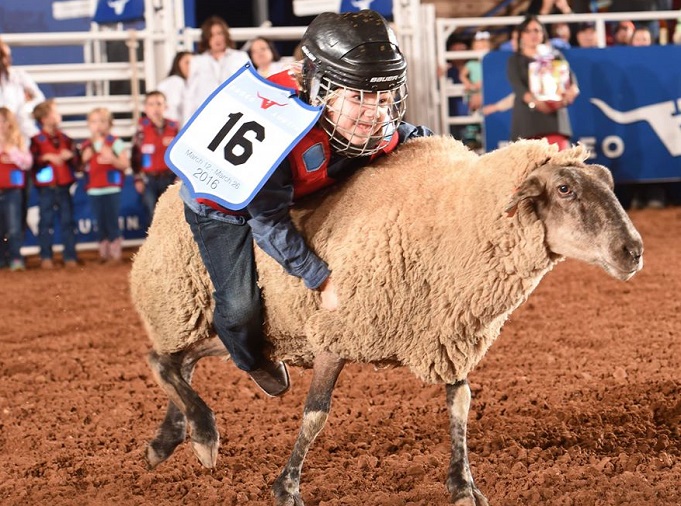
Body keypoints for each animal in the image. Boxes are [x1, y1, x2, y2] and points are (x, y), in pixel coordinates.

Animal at [131, 136, 644, 504]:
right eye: (565, 189)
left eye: (608, 182)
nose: (633, 251)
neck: (449, 220)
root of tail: (173, 191)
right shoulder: (335, 334)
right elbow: (315, 413)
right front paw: (287, 487)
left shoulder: (447, 333)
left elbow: (460, 405)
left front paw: (463, 486)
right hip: (217, 309)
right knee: (167, 357)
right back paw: (201, 433)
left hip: (268, 333)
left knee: (186, 360)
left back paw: (170, 437)